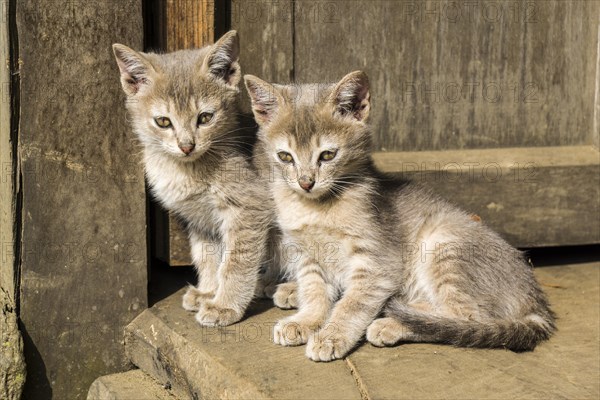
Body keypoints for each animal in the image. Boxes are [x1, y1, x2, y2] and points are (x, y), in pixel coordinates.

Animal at [113, 30, 278, 324]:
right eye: (163, 121)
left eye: (205, 117)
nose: (186, 146)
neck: (185, 171)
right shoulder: (201, 219)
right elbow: (207, 257)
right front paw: (209, 292)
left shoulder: (250, 208)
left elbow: (235, 262)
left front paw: (225, 305)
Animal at [246, 70, 556, 360]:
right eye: (285, 157)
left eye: (327, 155)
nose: (306, 182)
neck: (316, 207)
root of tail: (536, 299)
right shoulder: (307, 255)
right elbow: (314, 292)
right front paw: (306, 320)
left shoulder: (377, 264)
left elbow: (351, 305)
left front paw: (332, 335)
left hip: (443, 244)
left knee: (465, 319)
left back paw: (391, 323)